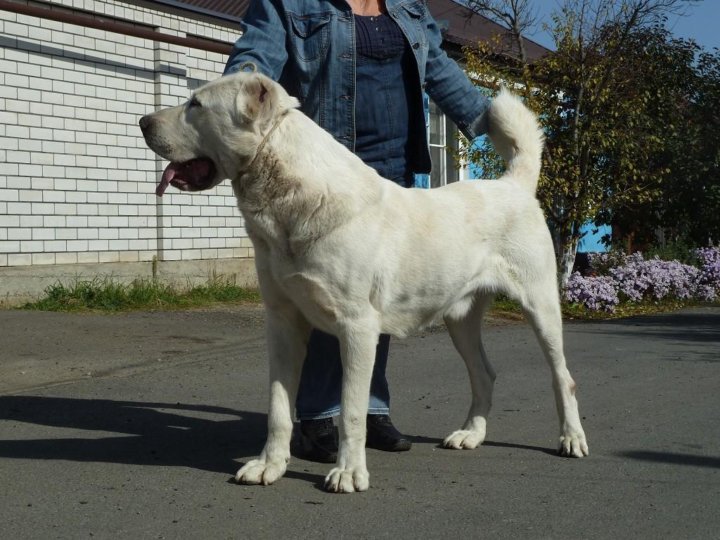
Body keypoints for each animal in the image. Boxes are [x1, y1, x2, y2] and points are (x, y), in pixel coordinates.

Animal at [139, 71, 584, 494]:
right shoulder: (282, 323)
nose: (143, 122)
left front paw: (349, 473)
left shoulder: (357, 328)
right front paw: (270, 465)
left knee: (562, 376)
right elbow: (279, 407)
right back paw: (470, 435)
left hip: (541, 307)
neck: (291, 200)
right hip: (460, 319)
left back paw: (571, 439)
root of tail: (513, 185)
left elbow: (352, 409)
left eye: (195, 104)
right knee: (484, 374)